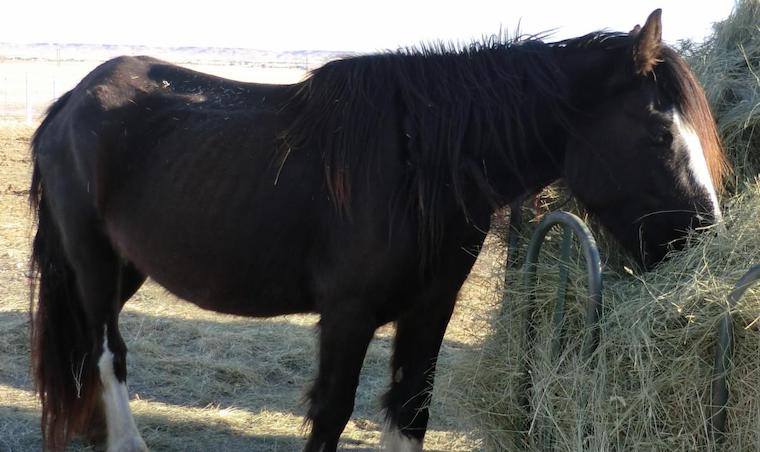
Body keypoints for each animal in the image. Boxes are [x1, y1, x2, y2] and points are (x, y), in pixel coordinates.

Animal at [28, 10, 726, 451]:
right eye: (659, 134)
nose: (704, 238)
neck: (419, 167)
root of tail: (70, 101)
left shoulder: (430, 309)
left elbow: (411, 410)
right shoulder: (348, 314)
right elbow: (332, 413)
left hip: (127, 265)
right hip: (92, 261)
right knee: (107, 350)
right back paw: (122, 440)